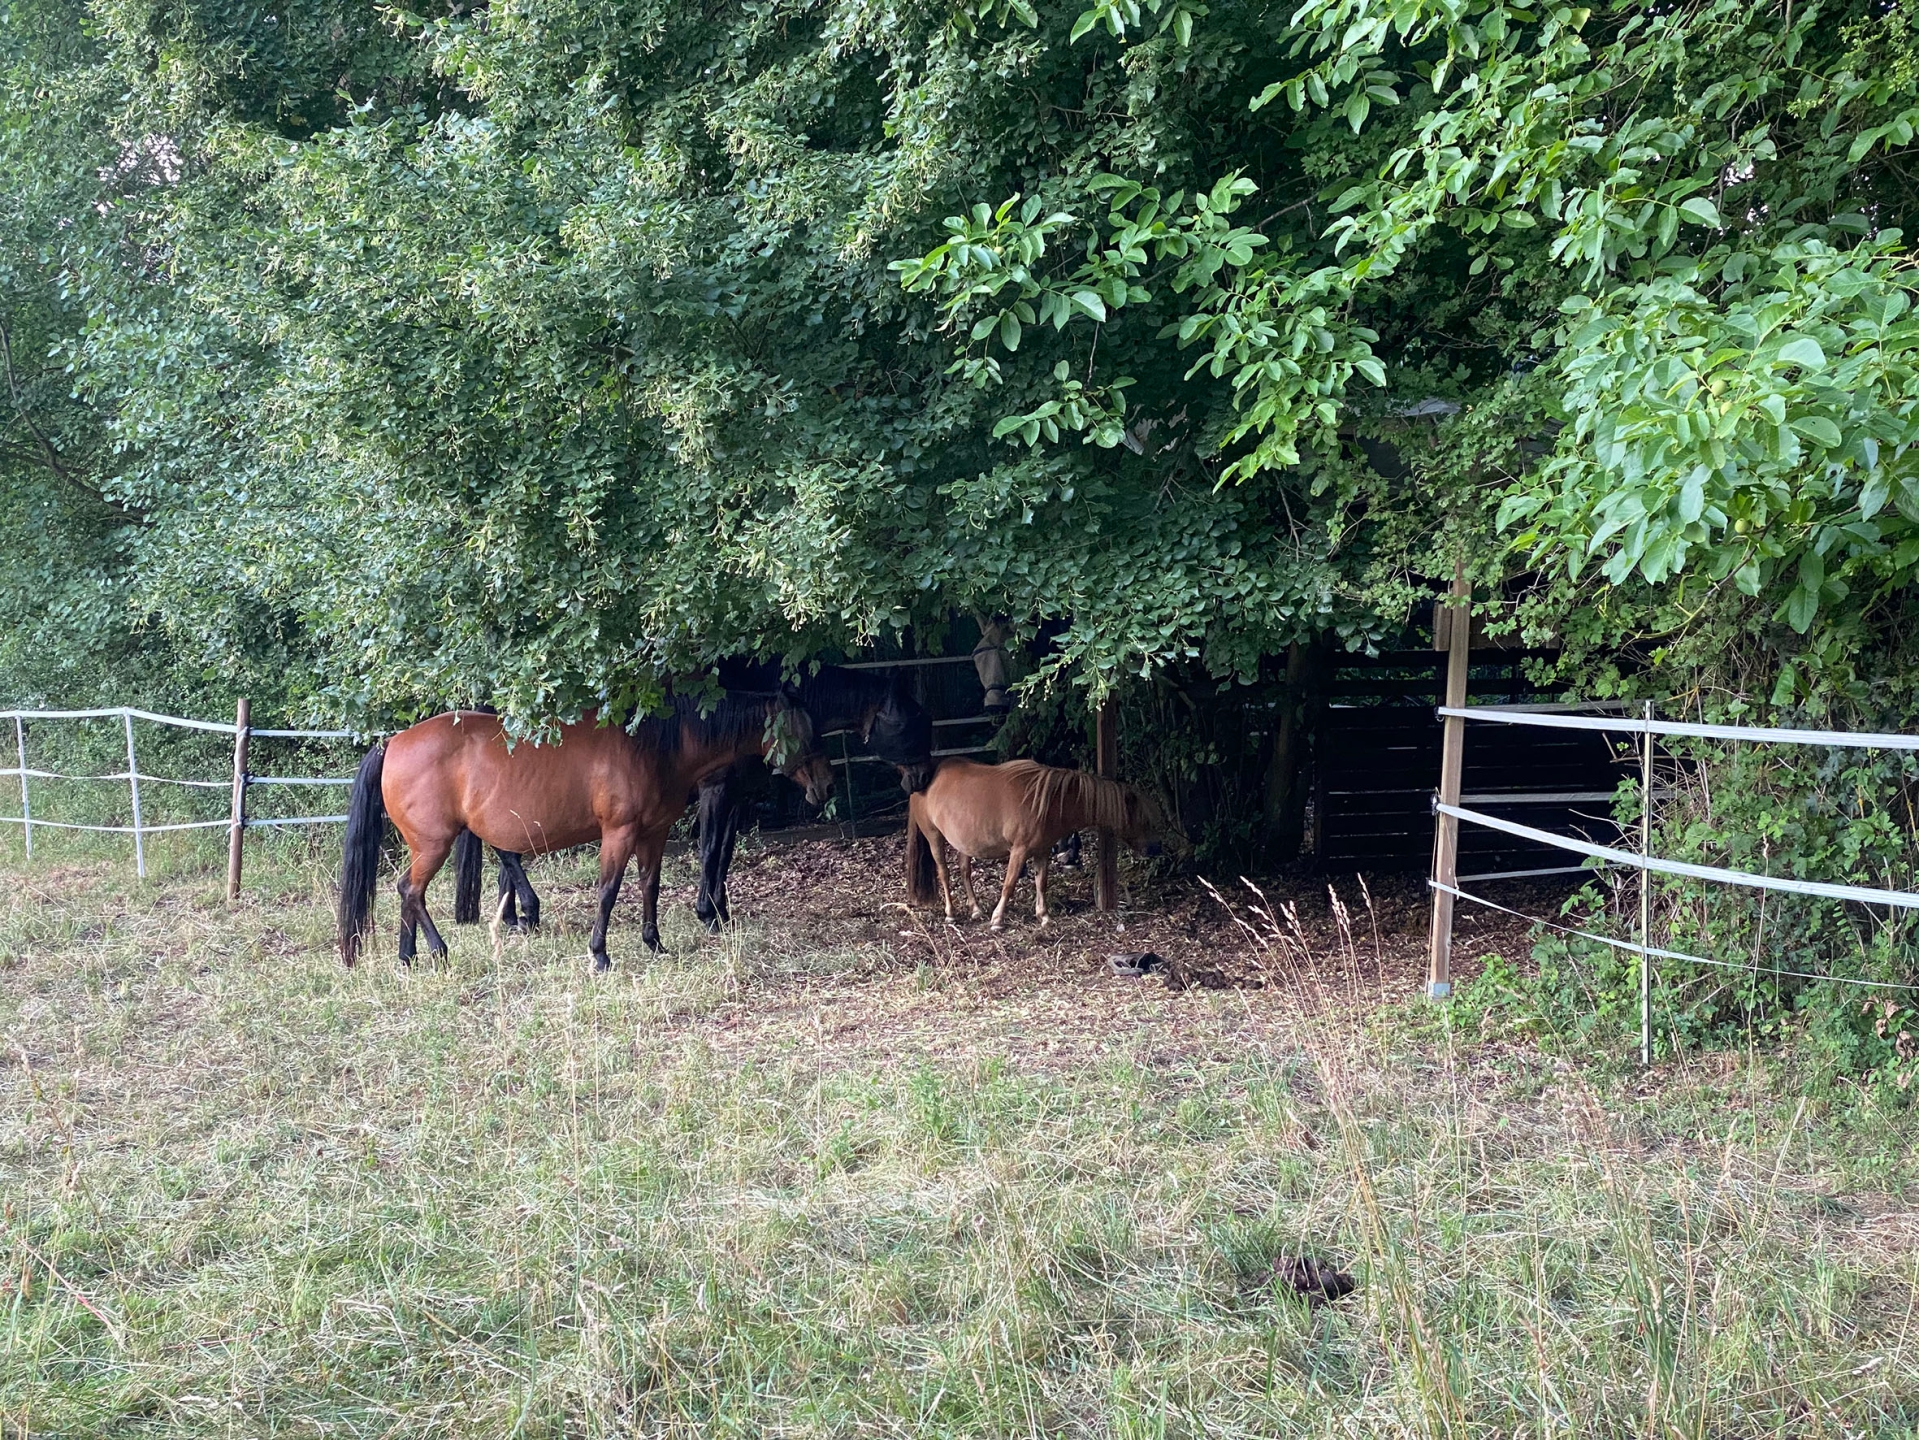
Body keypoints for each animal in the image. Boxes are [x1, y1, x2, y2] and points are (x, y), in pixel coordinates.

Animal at [337, 692, 835, 969]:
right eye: (798, 731)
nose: (825, 784)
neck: (653, 746)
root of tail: (392, 742)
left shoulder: (653, 833)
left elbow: (649, 886)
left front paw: (655, 944)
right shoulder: (619, 833)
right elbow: (609, 891)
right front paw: (600, 955)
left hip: (427, 845)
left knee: (409, 893)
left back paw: (409, 957)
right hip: (434, 843)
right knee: (411, 890)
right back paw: (437, 952)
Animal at [452, 665, 935, 934]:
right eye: (911, 718)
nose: (923, 776)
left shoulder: (735, 794)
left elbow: (723, 852)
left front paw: (719, 910)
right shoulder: (716, 789)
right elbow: (709, 850)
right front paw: (709, 913)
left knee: (506, 847)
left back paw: (515, 917)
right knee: (505, 848)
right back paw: (528, 911)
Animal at [903, 758, 1181, 929]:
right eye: (1144, 820)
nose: (1156, 848)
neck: (1049, 801)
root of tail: (922, 782)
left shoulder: (1041, 850)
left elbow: (1041, 882)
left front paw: (1044, 916)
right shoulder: (1020, 850)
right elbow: (1009, 884)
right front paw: (998, 919)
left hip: (965, 843)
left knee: (964, 872)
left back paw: (976, 909)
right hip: (934, 837)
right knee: (944, 872)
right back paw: (951, 914)